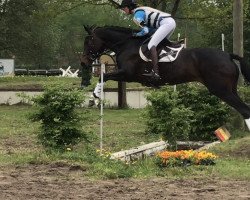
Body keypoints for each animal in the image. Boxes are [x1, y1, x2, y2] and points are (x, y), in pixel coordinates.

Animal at [80, 25, 250, 130]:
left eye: (88, 42)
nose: (83, 62)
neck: (126, 44)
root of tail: (228, 55)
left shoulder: (127, 74)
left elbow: (104, 76)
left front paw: (95, 96)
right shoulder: (126, 75)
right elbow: (104, 77)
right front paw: (94, 98)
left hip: (220, 90)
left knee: (245, 110)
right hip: (230, 90)